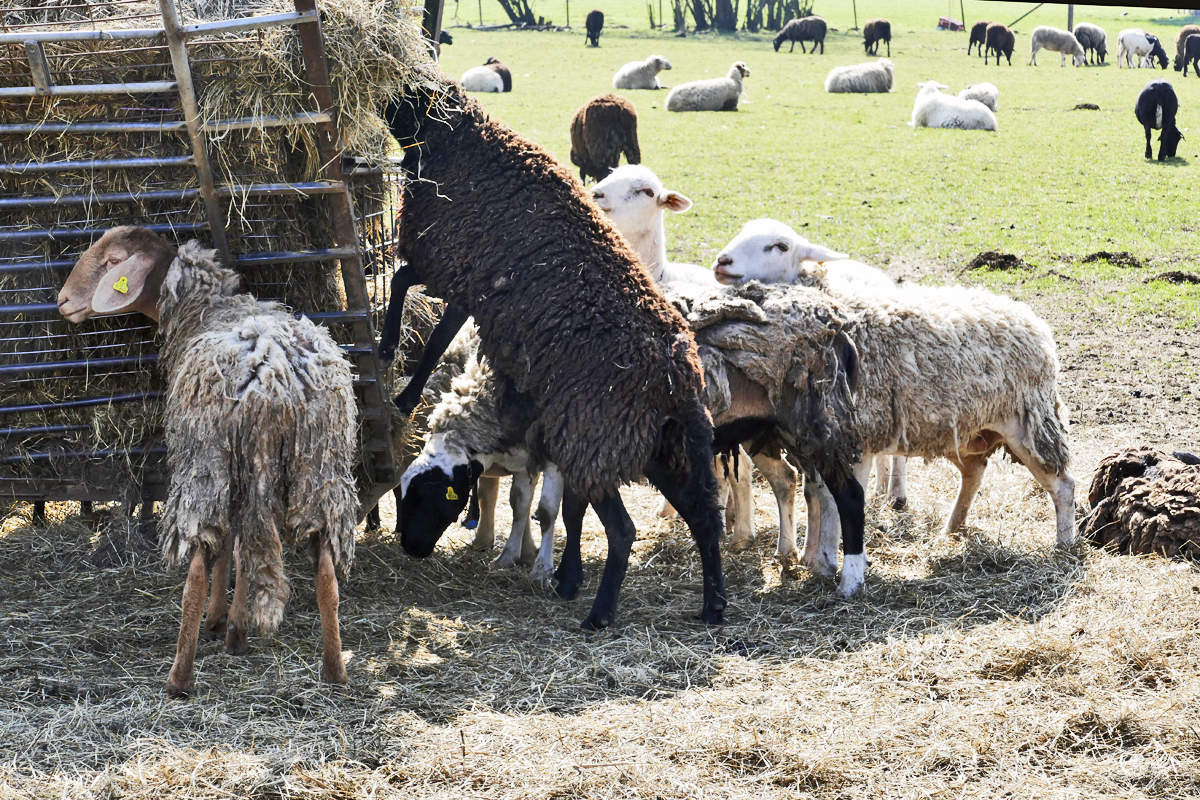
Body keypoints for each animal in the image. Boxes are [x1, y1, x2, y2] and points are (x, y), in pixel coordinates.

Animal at [56, 225, 355, 695]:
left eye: (112, 262)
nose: (63, 301)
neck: (202, 309)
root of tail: (273, 375)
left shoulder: (221, 462)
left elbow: (224, 551)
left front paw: (219, 623)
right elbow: (240, 551)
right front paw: (234, 628)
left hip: (205, 462)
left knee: (196, 569)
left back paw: (179, 677)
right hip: (320, 469)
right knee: (325, 571)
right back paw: (334, 670)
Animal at [384, 76, 739, 633]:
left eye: (426, 499)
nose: (411, 550)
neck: (464, 142)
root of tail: (678, 382)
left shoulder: (459, 270)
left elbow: (423, 319)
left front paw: (400, 386)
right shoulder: (467, 281)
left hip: (597, 438)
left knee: (623, 530)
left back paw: (600, 614)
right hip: (664, 449)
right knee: (704, 517)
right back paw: (713, 607)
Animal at [710, 215, 1080, 592]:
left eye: (780, 246)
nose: (722, 263)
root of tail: (1030, 318)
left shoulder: (853, 438)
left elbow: (836, 501)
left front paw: (833, 563)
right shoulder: (818, 441)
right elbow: (818, 495)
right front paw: (816, 559)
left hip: (1027, 422)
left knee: (1063, 485)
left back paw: (1065, 543)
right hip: (961, 428)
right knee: (974, 471)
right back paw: (953, 527)